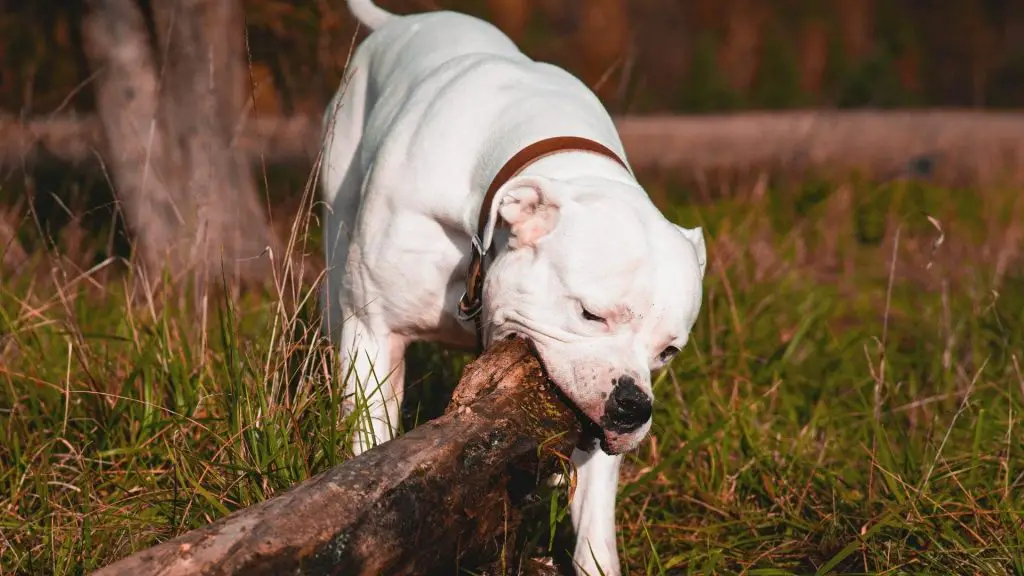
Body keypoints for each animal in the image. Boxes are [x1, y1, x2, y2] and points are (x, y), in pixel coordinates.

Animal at [319, 2, 704, 569]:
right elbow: (371, 449)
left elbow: (594, 523)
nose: (633, 405)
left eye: (669, 352)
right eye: (590, 314)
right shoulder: (374, 331)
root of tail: (398, 23)